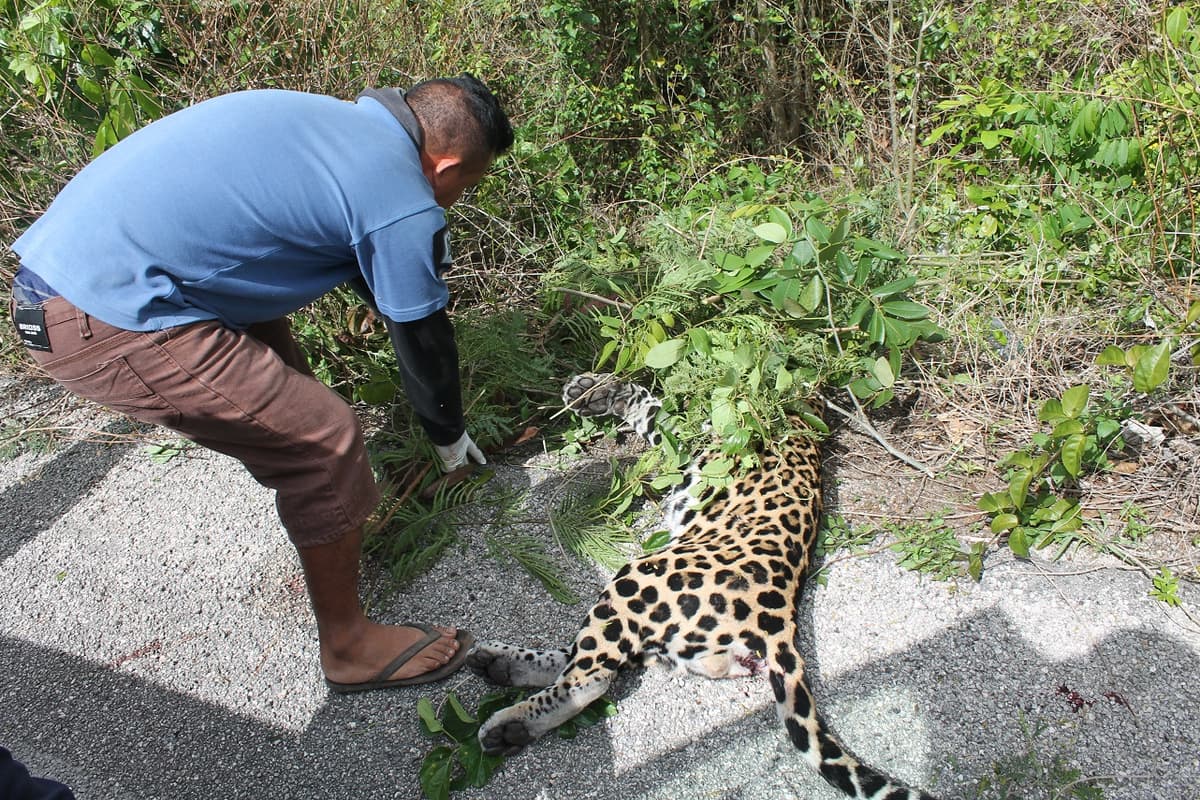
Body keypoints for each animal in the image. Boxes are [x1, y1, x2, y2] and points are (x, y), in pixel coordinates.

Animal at [467, 372, 939, 800]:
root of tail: (780, 619)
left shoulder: (695, 439)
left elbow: (652, 407)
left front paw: (597, 391)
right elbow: (650, 406)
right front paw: (595, 391)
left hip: (639, 577)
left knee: (591, 676)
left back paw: (509, 723)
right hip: (663, 624)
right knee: (600, 655)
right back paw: (499, 664)